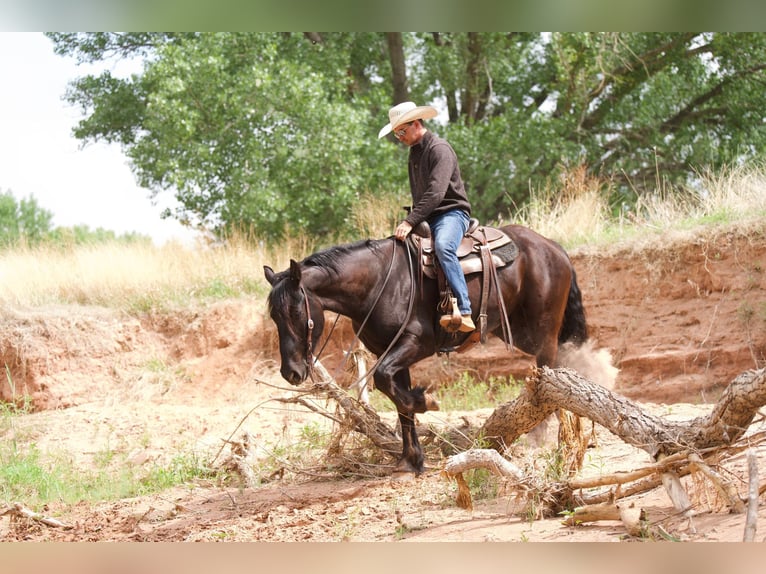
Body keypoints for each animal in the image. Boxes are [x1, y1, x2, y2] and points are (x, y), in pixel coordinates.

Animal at [263, 224, 588, 475]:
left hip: (542, 331)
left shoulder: (416, 343)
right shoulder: (390, 352)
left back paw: (543, 433)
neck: (379, 282)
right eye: (274, 316)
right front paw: (411, 460)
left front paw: (425, 401)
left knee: (548, 368)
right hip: (523, 332)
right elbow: (397, 399)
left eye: (295, 311)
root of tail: (554, 248)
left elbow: (386, 383)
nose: (291, 372)